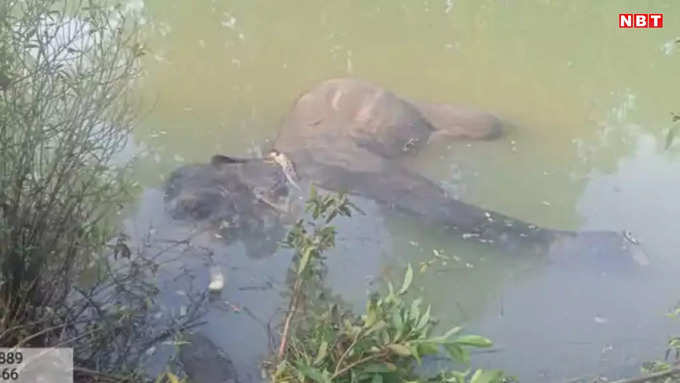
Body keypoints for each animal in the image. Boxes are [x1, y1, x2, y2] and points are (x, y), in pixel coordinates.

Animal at [165, 77, 648, 270]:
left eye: (198, 208)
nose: (199, 245)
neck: (287, 168)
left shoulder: (346, 174)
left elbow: (441, 207)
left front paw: (590, 247)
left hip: (403, 109)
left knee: (480, 124)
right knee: (484, 125)